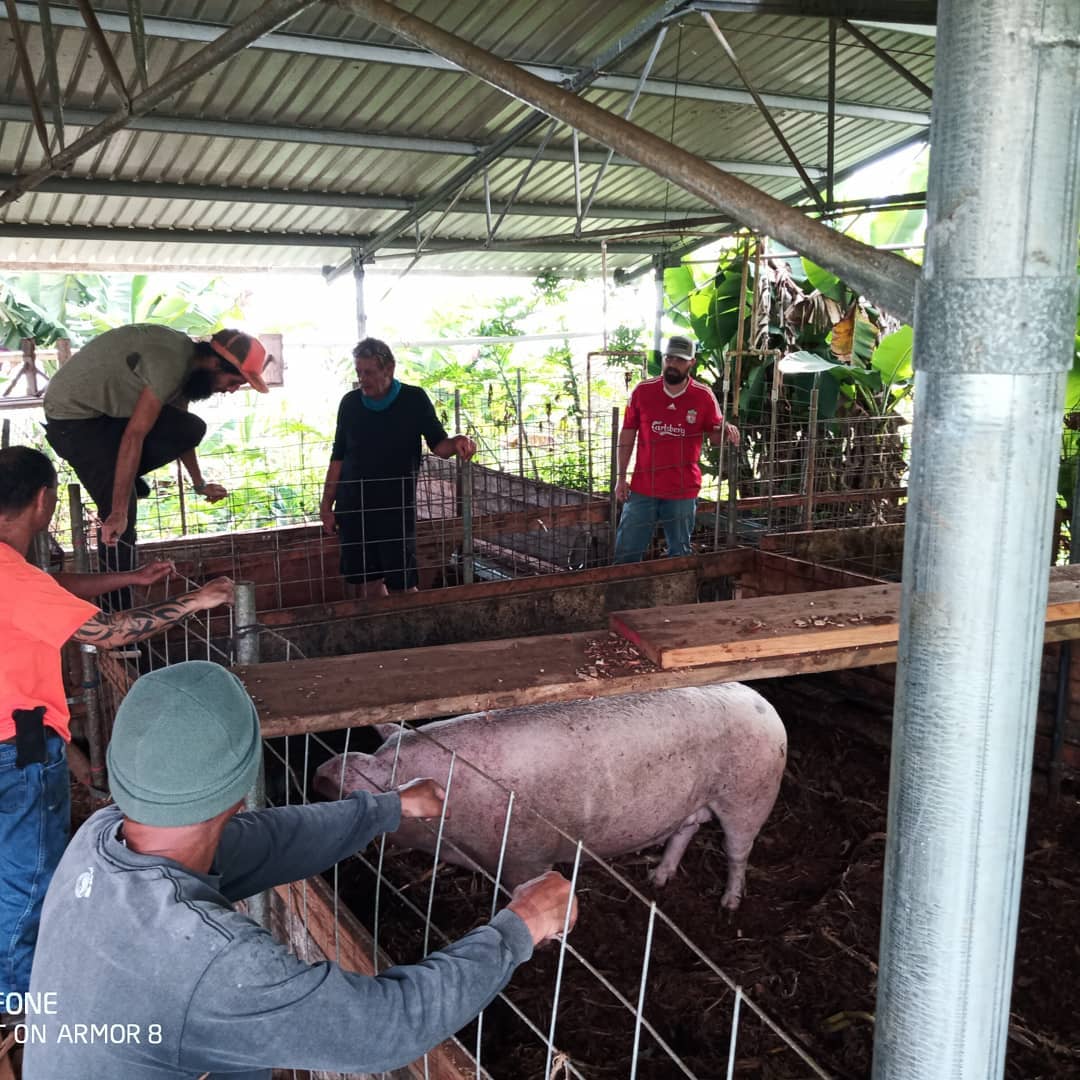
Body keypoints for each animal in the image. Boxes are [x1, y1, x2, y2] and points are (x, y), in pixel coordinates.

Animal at [314, 682, 786, 909]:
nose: (323, 772)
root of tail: (765, 704)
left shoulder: (525, 855)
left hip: (751, 794)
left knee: (738, 852)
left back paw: (729, 905)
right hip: (698, 799)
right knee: (685, 829)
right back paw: (656, 879)